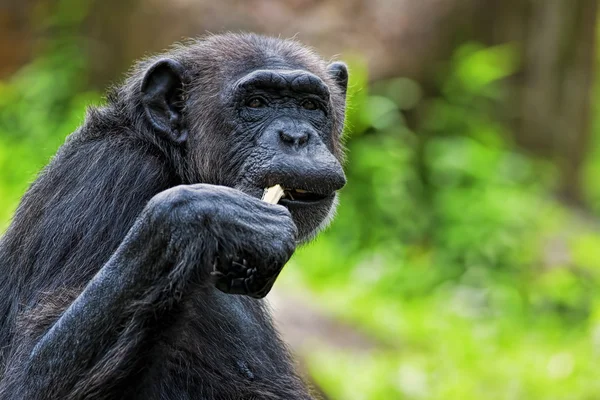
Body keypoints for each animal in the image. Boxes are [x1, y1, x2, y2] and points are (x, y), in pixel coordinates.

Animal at [0, 32, 346, 398]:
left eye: (310, 106)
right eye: (256, 103)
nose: (296, 136)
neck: (170, 157)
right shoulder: (107, 178)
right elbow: (25, 377)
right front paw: (210, 217)